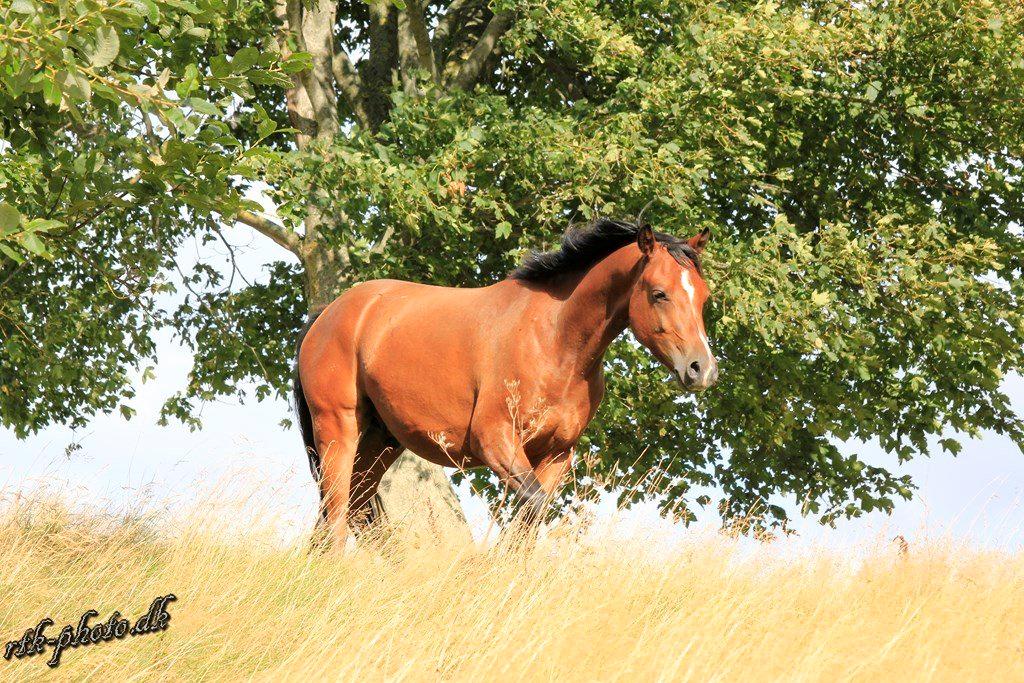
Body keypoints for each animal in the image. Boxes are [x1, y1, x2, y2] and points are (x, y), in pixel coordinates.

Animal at [293, 218, 718, 544]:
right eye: (659, 293)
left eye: (703, 296)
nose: (702, 369)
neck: (554, 340)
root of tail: (329, 313)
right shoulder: (495, 439)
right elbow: (532, 508)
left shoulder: (556, 454)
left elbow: (530, 521)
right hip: (338, 429)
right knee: (336, 512)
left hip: (383, 440)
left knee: (346, 509)